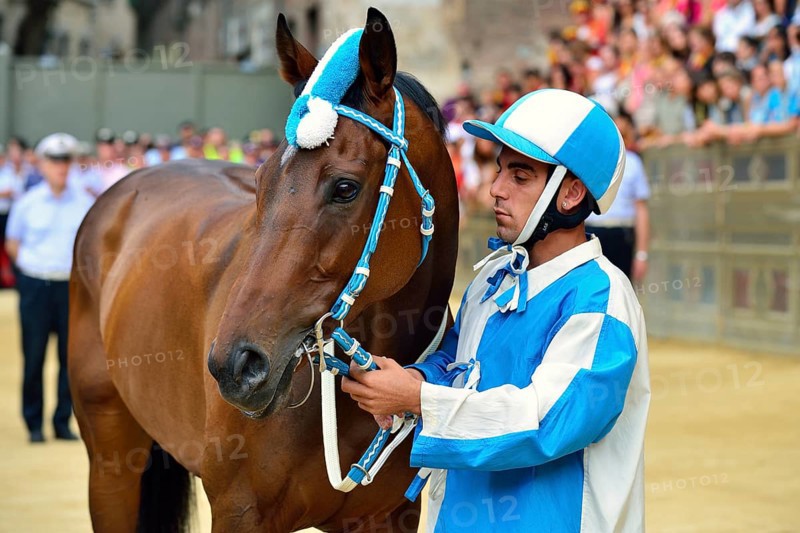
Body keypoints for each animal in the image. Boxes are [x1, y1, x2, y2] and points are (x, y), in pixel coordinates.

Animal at [69, 8, 459, 532]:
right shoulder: (239, 510)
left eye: (345, 187)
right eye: (260, 178)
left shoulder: (389, 517)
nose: (235, 365)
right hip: (111, 464)